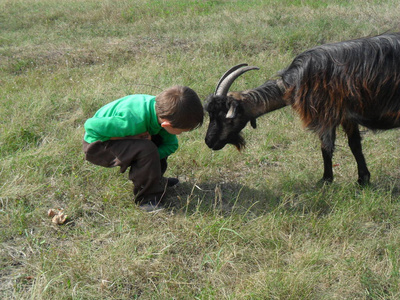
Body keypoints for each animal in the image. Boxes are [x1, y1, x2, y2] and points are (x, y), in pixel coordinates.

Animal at [205, 31, 400, 184]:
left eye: (227, 119)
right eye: (211, 115)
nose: (209, 142)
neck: (294, 82)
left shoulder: (325, 114)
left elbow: (326, 148)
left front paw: (326, 180)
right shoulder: (346, 115)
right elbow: (355, 146)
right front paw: (363, 179)